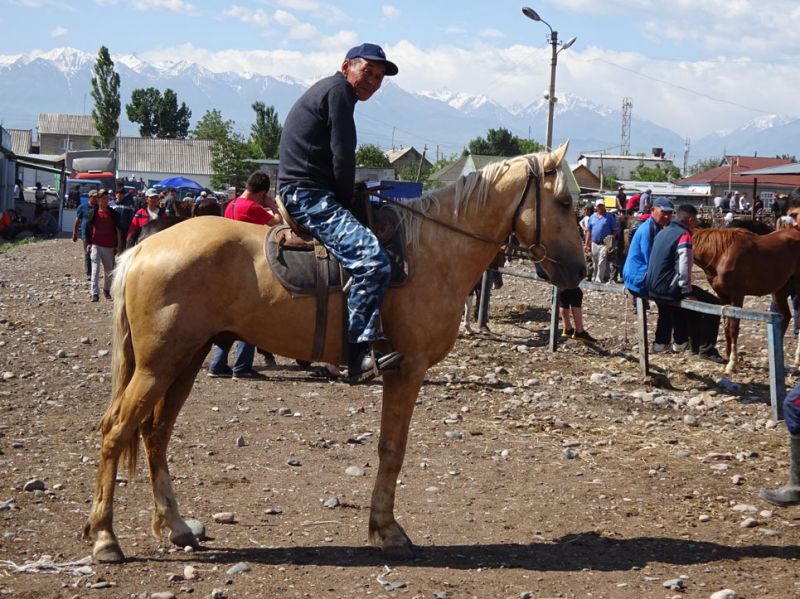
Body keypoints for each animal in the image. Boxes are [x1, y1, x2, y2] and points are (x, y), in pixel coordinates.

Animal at [81, 143, 584, 564]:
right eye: (564, 202)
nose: (578, 271)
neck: (431, 250)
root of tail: (144, 247)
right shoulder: (407, 369)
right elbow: (392, 448)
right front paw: (387, 530)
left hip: (183, 361)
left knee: (155, 434)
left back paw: (176, 526)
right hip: (157, 366)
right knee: (116, 431)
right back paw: (106, 538)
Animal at [692, 227, 800, 372]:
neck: (722, 254)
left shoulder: (737, 296)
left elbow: (734, 328)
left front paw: (732, 363)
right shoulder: (723, 297)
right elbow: (726, 327)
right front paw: (729, 357)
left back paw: (797, 358)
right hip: (780, 290)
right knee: (786, 316)